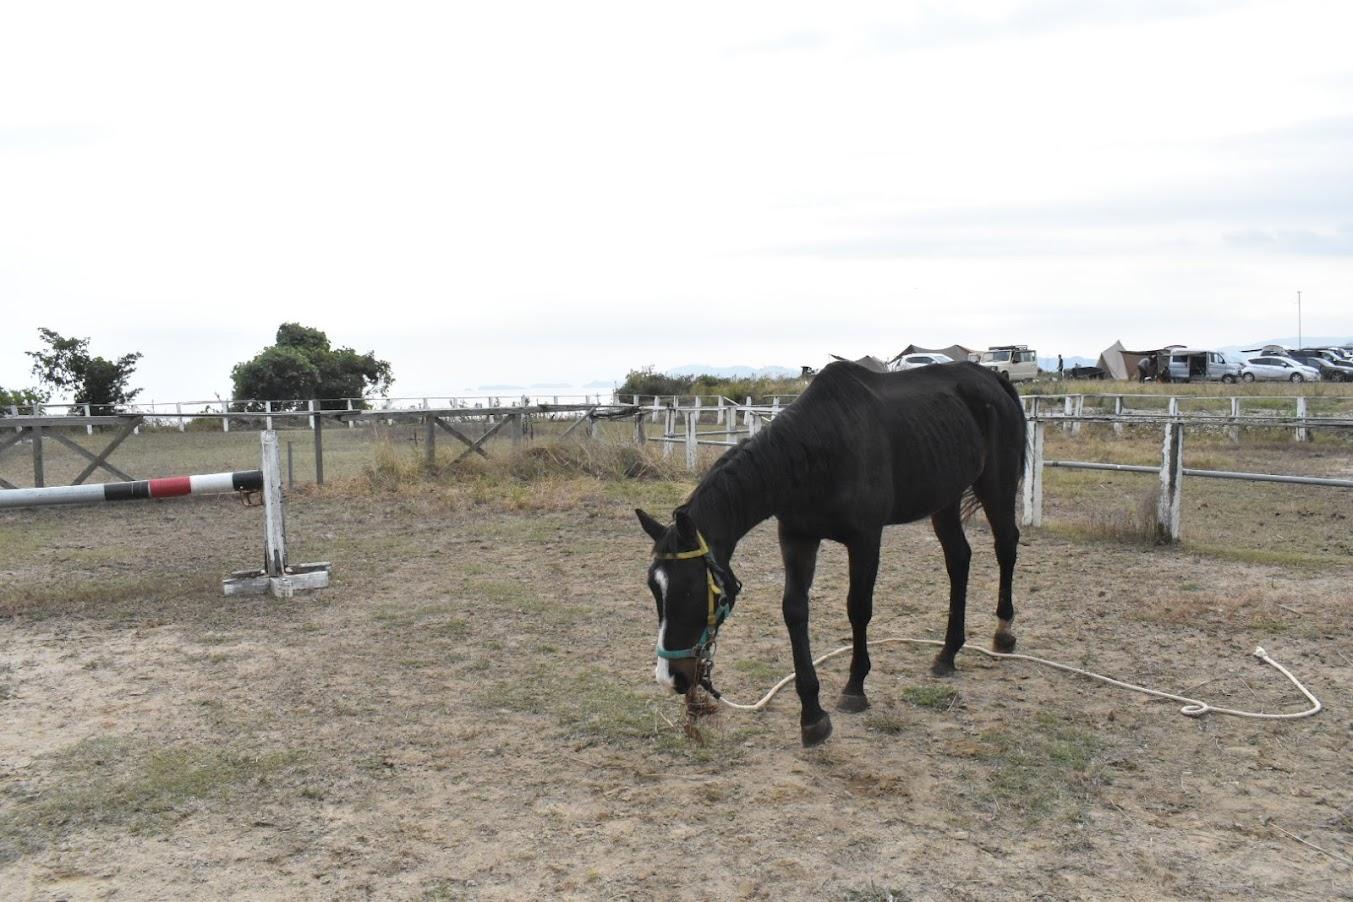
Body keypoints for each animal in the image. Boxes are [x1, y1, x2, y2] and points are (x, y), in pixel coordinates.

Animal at [633, 359, 1022, 746]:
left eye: (692, 591)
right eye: (654, 589)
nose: (671, 677)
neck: (819, 447)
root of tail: (993, 378)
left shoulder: (865, 539)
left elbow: (858, 609)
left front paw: (854, 688)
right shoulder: (797, 537)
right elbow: (794, 611)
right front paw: (812, 714)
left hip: (996, 486)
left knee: (1006, 545)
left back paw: (1003, 632)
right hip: (945, 500)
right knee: (959, 559)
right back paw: (948, 652)